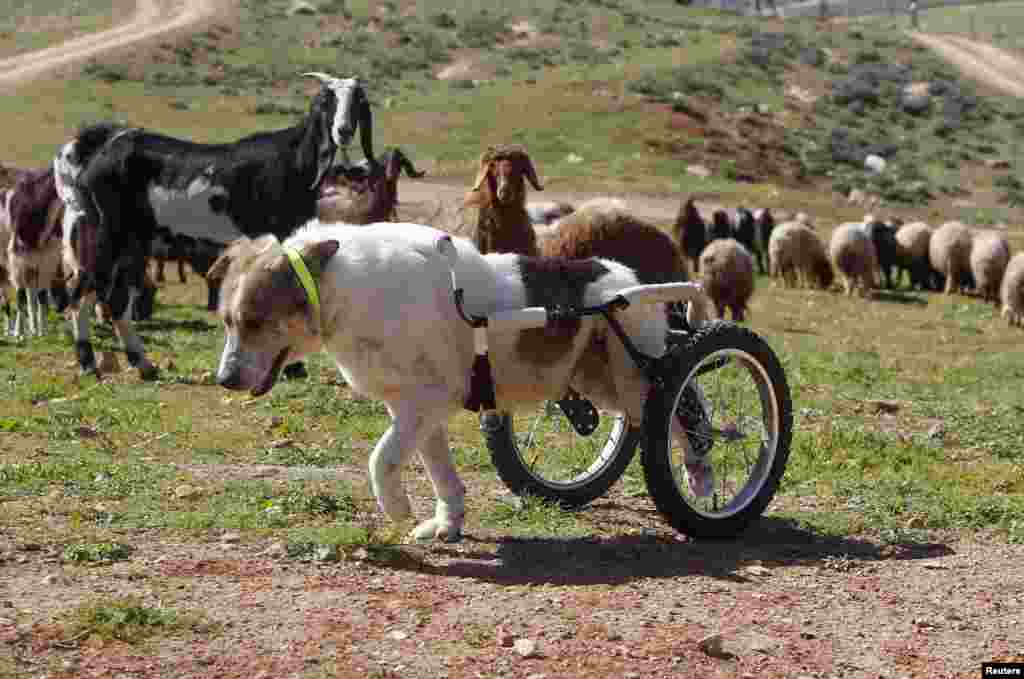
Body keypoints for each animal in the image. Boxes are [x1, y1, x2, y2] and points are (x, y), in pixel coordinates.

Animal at [54, 75, 374, 383]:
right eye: (326, 100)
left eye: (356, 101)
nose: (344, 130)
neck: (292, 161)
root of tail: (101, 149)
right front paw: (293, 368)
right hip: (109, 234)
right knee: (82, 293)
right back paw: (89, 363)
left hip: (133, 242)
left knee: (115, 299)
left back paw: (143, 365)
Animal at [211, 220, 700, 544]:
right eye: (227, 321)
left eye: (255, 321)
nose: (225, 379)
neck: (341, 291)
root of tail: (629, 280)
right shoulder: (416, 411)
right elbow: (438, 471)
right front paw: (447, 523)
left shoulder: (423, 404)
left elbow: (380, 459)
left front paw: (397, 507)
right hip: (599, 383)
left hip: (636, 382)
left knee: (688, 418)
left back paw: (702, 484)